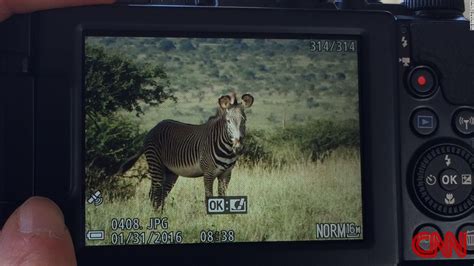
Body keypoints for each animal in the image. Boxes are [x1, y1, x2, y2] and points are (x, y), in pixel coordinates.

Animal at [117, 92, 254, 209]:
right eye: (228, 121)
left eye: (244, 120)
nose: (238, 148)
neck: (227, 149)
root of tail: (153, 129)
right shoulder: (208, 173)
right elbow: (209, 198)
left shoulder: (226, 174)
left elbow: (223, 197)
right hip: (156, 164)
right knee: (155, 193)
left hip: (170, 172)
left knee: (160, 194)